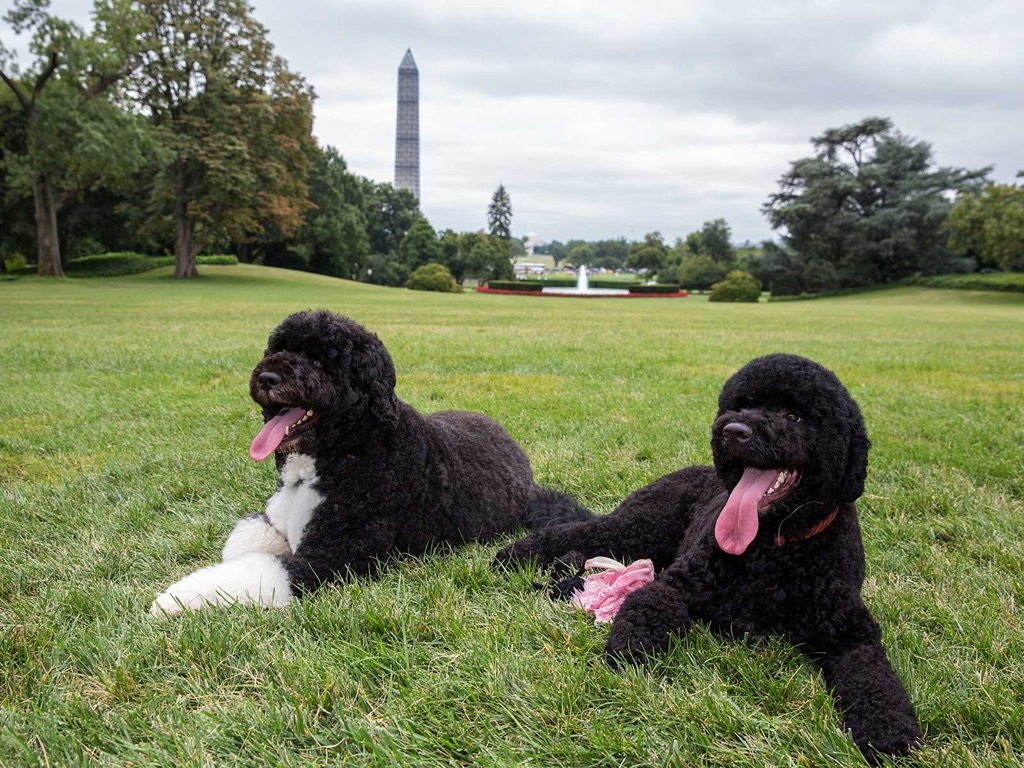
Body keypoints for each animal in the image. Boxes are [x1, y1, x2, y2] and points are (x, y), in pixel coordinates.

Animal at [149, 309, 585, 618]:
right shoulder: (273, 519)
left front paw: (175, 598)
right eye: (278, 348)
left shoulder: (333, 557)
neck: (344, 451)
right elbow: (244, 543)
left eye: (321, 363)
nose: (267, 376)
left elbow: (261, 569)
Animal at [493, 354, 921, 765]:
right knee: (576, 532)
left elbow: (875, 679)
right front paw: (630, 650)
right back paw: (514, 555)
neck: (774, 547)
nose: (734, 431)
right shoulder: (680, 583)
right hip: (638, 527)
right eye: (740, 405)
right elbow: (650, 602)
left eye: (794, 415)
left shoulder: (851, 632)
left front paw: (890, 733)